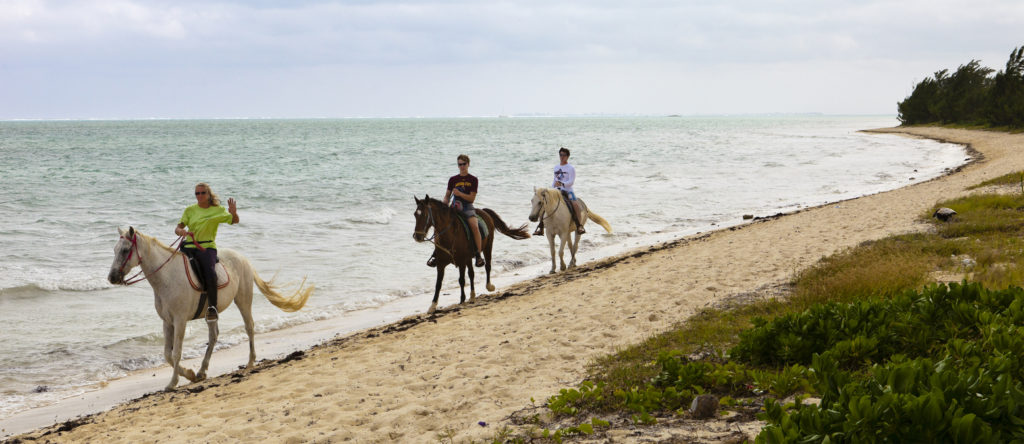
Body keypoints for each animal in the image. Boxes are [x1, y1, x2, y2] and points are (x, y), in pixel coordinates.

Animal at [106, 227, 311, 390]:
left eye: (125, 250)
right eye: (114, 249)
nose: (112, 277)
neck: (167, 277)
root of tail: (243, 258)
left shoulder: (180, 321)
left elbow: (176, 352)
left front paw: (172, 383)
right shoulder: (167, 322)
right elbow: (167, 354)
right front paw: (189, 374)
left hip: (243, 300)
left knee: (249, 327)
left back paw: (250, 361)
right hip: (212, 312)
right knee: (213, 336)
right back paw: (202, 371)